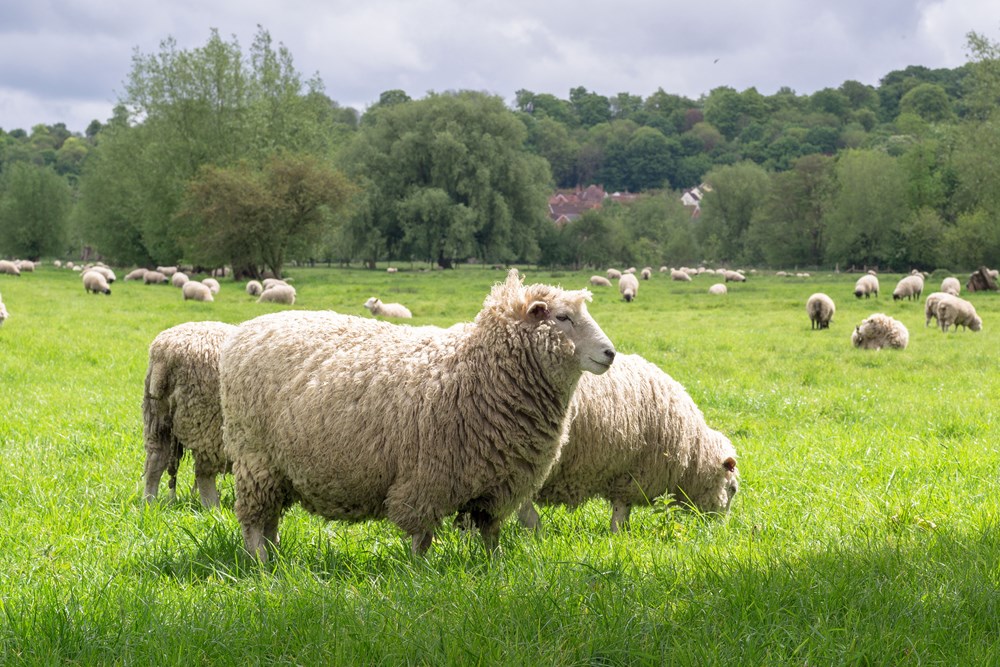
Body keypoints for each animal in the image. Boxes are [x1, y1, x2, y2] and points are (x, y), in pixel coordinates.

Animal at [142, 322, 237, 506]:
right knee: (204, 474)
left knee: (155, 463)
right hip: (207, 424)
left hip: (157, 420)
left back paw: (149, 504)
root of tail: (166, 353)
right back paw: (213, 508)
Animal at [221, 268, 616, 560]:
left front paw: (495, 567)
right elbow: (422, 537)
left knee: (270, 521)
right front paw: (419, 573)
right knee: (254, 522)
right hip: (255, 458)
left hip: (276, 469)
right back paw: (261, 564)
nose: (610, 353)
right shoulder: (427, 479)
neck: (478, 370)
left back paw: (275, 559)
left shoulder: (499, 485)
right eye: (563, 317)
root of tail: (245, 331)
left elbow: (490, 533)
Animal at [520, 352, 740, 536]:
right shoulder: (631, 474)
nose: (720, 528)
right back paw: (535, 532)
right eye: (733, 489)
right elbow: (621, 510)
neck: (693, 451)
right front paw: (617, 535)